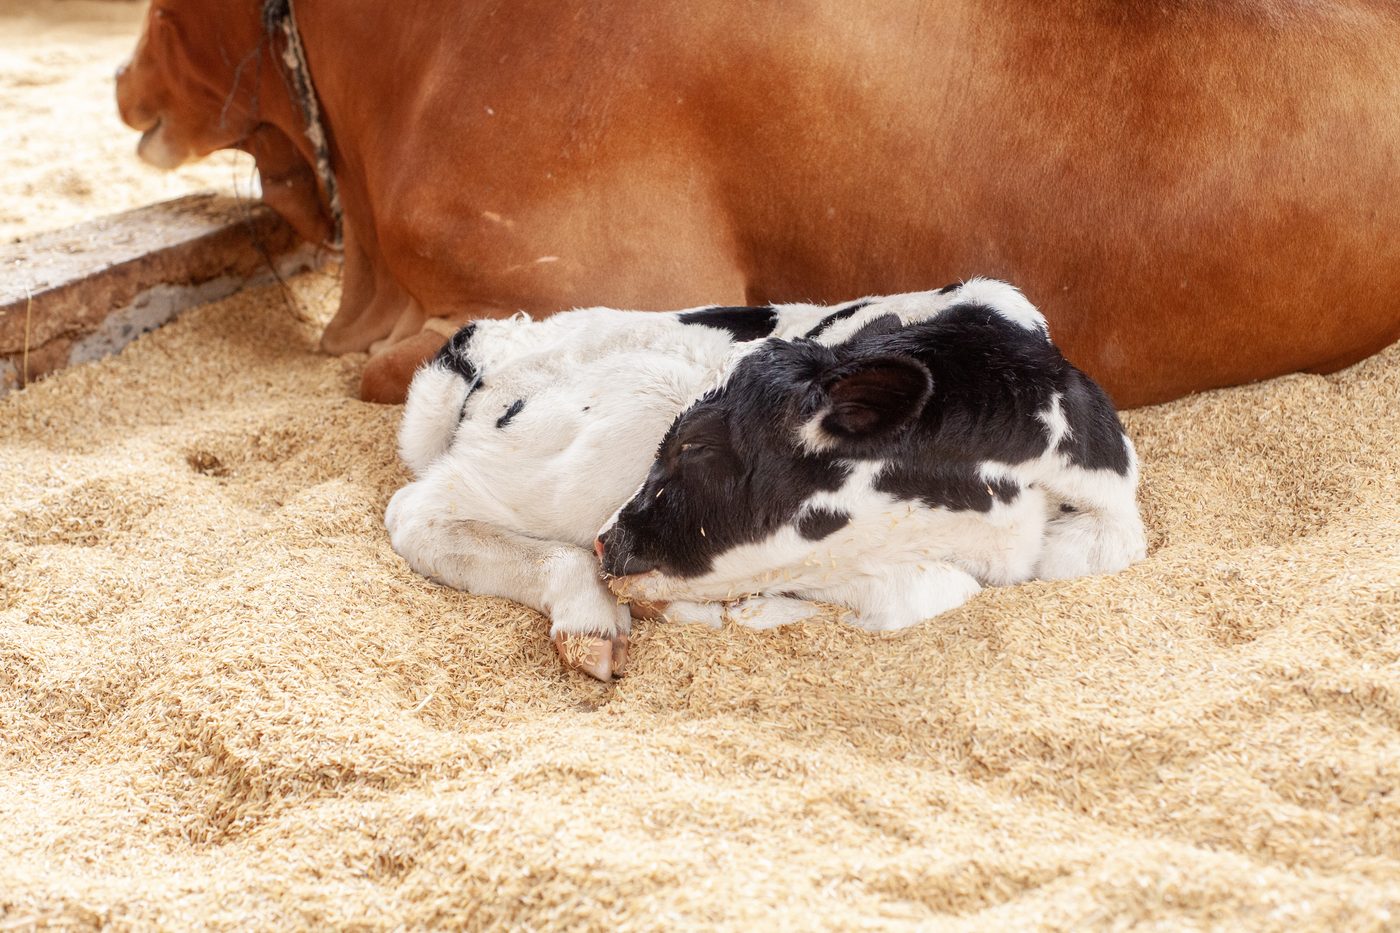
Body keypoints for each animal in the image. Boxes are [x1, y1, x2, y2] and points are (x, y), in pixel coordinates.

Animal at [385, 280, 1146, 680]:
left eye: (695, 447)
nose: (609, 545)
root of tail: (499, 342)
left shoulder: (1113, 516)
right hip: (622, 411)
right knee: (419, 509)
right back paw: (590, 614)